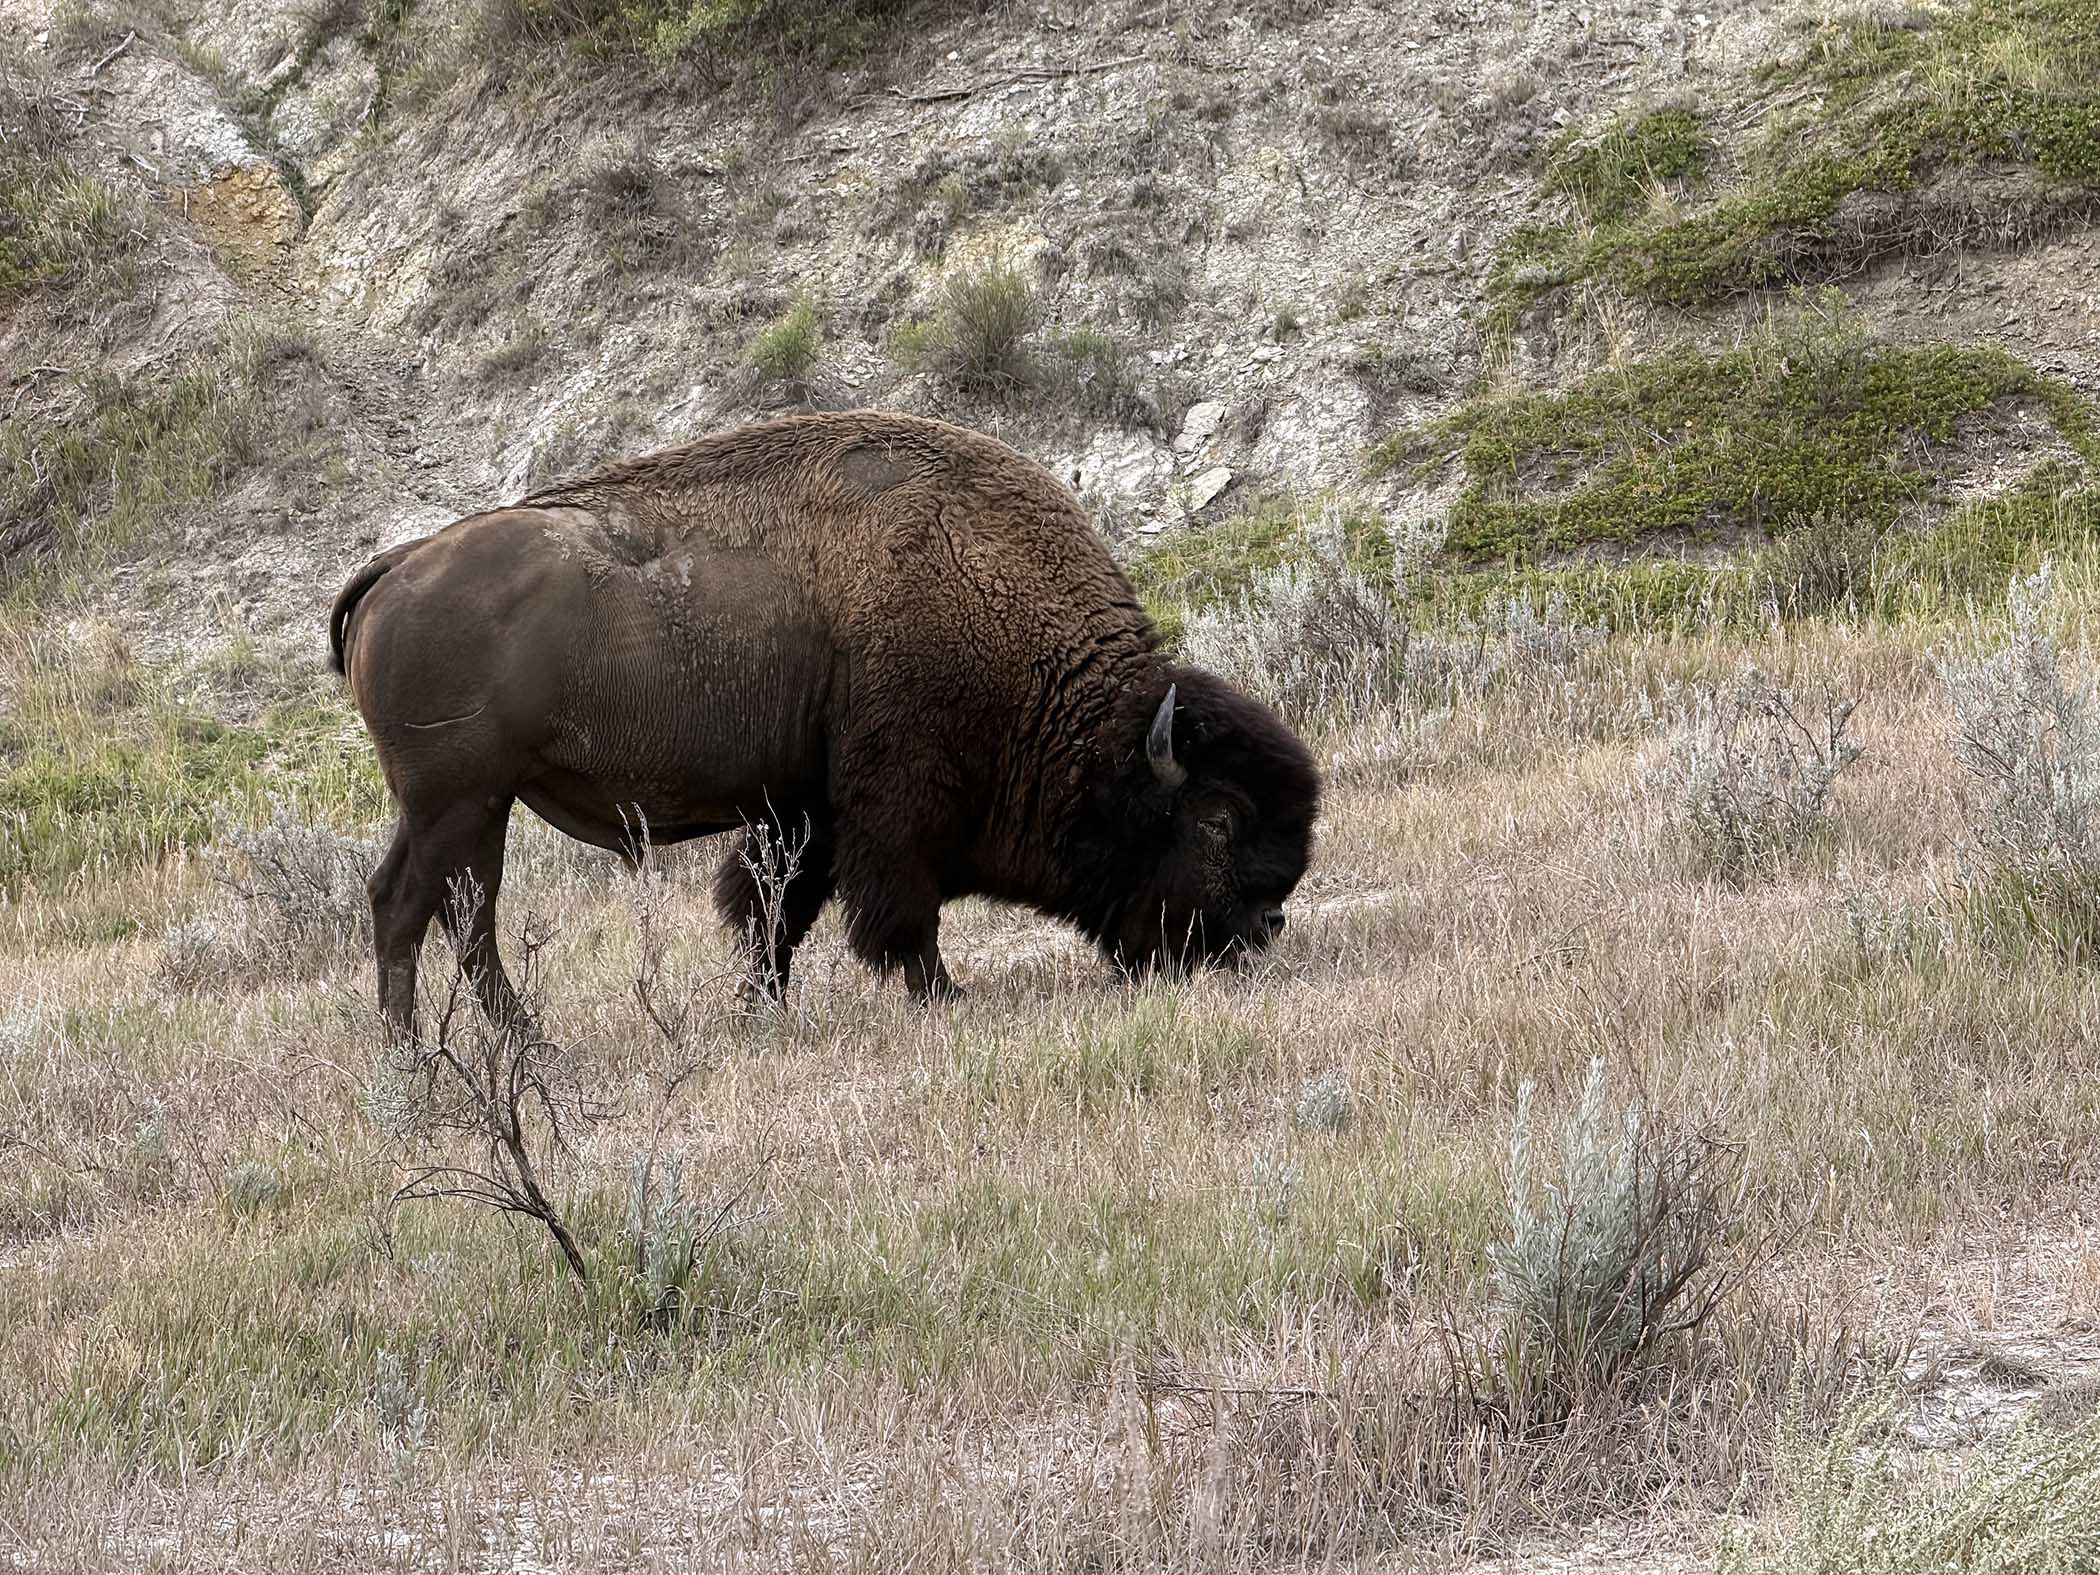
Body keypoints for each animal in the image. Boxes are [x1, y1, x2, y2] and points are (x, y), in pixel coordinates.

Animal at [328, 409, 1320, 1042]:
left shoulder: (803, 803)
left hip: (457, 806)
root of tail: (398, 564)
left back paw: (484, 1046)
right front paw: (942, 995)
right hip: (464, 800)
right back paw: (447, 1055)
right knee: (435, 909)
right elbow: (895, 907)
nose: (1263, 927)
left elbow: (778, 907)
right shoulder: (892, 802)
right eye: (1219, 820)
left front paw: (761, 1009)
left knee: (428, 907)